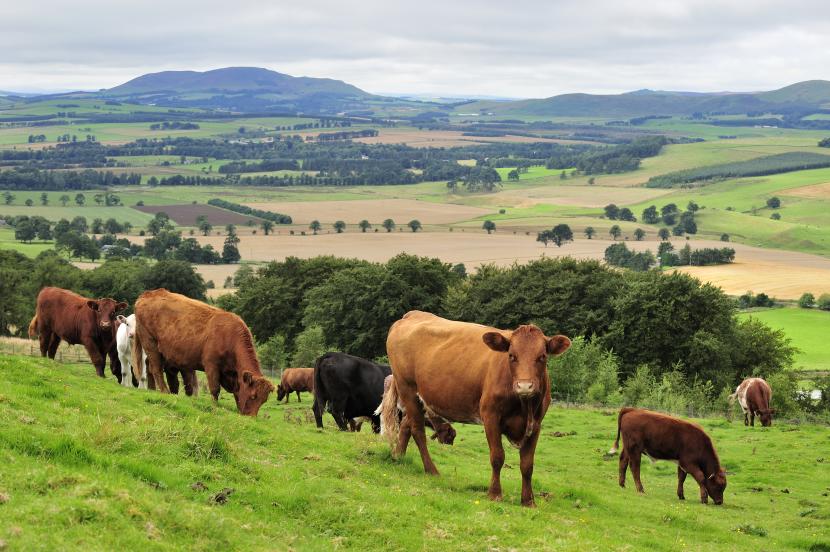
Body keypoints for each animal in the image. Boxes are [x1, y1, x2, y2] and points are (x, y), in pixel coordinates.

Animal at [133, 288, 274, 414]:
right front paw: (215, 406)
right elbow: (215, 388)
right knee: (156, 369)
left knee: (150, 366)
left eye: (263, 401)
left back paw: (152, 389)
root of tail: (147, 294)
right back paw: (164, 391)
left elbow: (236, 392)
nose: (251, 417)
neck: (230, 337)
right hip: (150, 344)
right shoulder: (211, 365)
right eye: (253, 396)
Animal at [386, 308, 572, 506]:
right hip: (407, 389)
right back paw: (431, 470)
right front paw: (495, 494)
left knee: (406, 425)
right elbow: (497, 456)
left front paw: (528, 501)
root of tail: (412, 315)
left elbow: (527, 464)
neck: (524, 407)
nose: (524, 386)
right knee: (418, 430)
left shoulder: (536, 424)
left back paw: (398, 456)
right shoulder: (490, 416)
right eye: (511, 356)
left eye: (542, 357)